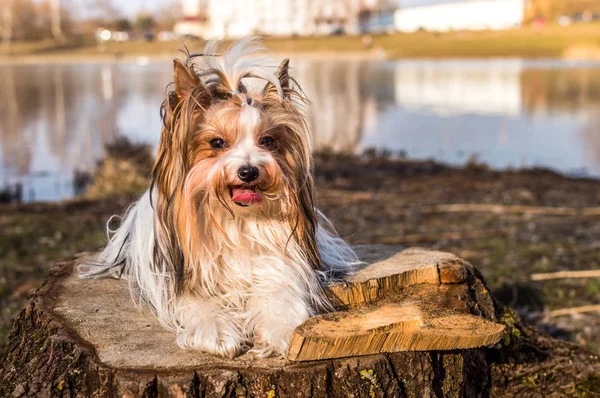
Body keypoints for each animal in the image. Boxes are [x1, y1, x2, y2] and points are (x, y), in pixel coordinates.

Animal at [80, 38, 360, 360]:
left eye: (268, 141)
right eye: (217, 143)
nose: (249, 171)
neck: (236, 220)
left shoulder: (276, 266)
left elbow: (280, 295)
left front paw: (282, 331)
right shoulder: (188, 279)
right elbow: (202, 304)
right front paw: (217, 333)